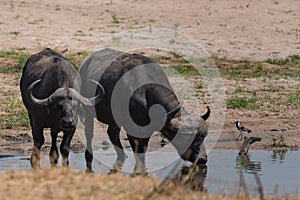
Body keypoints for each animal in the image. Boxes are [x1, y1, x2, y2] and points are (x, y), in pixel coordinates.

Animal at [79, 48, 211, 172]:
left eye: (203, 137)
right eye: (188, 138)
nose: (202, 159)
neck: (146, 97)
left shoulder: (148, 130)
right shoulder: (131, 129)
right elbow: (139, 154)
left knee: (112, 133)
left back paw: (122, 156)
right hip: (87, 108)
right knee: (89, 133)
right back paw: (89, 156)